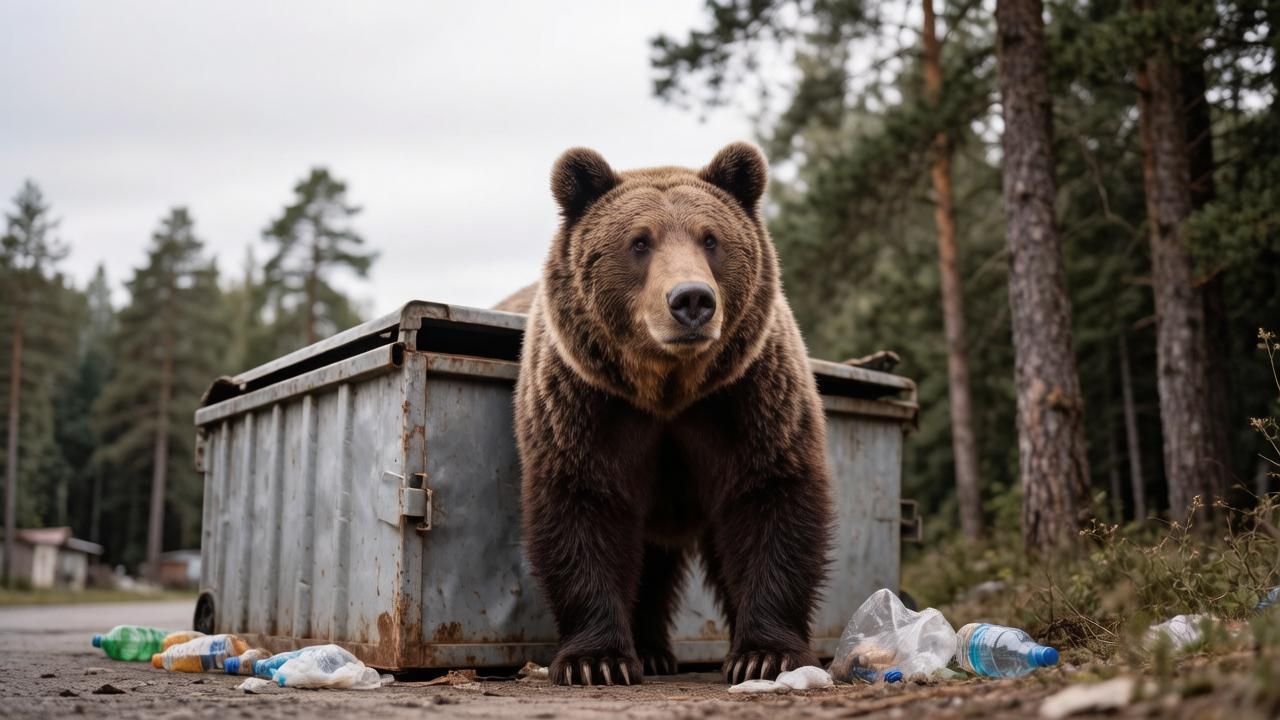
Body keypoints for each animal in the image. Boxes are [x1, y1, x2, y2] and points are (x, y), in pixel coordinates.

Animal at [514, 142, 834, 687]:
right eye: (639, 241)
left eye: (711, 239)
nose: (691, 300)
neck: (667, 389)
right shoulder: (587, 406)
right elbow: (582, 509)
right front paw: (595, 661)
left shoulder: (745, 400)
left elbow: (771, 501)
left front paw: (765, 655)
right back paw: (649, 652)